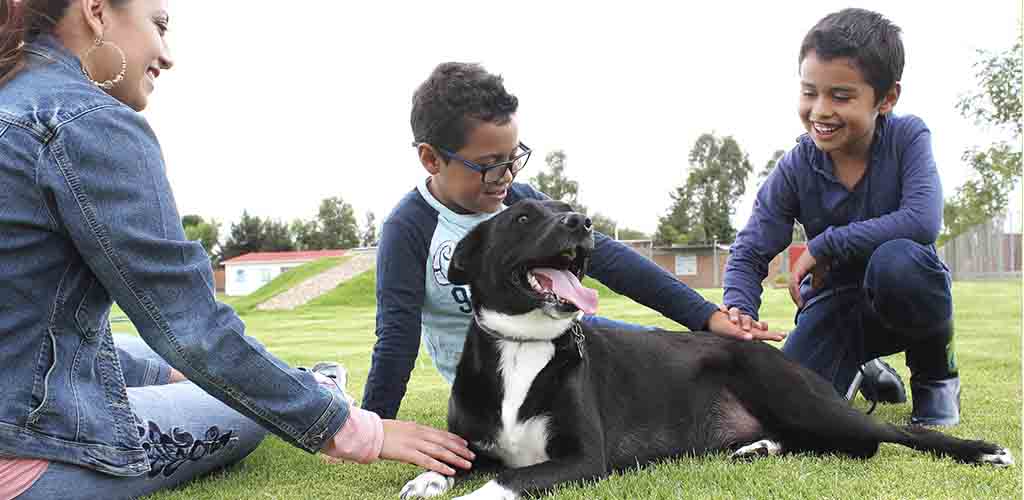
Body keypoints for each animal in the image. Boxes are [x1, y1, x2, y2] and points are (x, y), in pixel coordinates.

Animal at [397, 199, 1007, 500]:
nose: (582, 222)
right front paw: (426, 478)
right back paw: (758, 448)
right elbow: (454, 465)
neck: (526, 344)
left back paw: (983, 451)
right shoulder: (474, 446)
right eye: (522, 217)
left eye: (564, 208)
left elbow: (502, 482)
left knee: (891, 436)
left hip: (804, 400)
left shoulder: (583, 460)